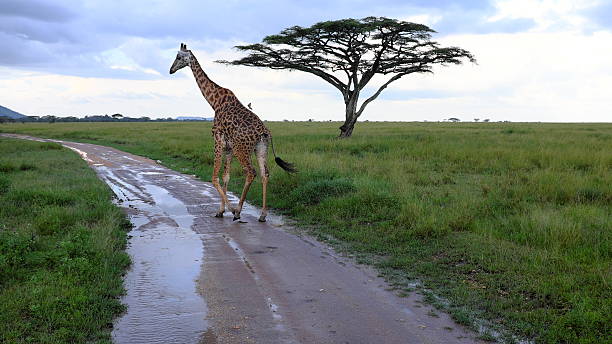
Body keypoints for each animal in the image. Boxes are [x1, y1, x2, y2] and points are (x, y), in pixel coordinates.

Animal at [169, 43, 296, 223]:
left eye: (179, 57)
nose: (171, 70)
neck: (214, 102)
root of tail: (265, 132)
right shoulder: (228, 147)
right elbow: (225, 177)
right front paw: (221, 211)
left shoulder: (217, 140)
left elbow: (214, 177)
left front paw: (230, 209)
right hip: (260, 148)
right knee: (265, 174)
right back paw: (262, 215)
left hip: (241, 149)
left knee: (251, 172)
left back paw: (238, 211)